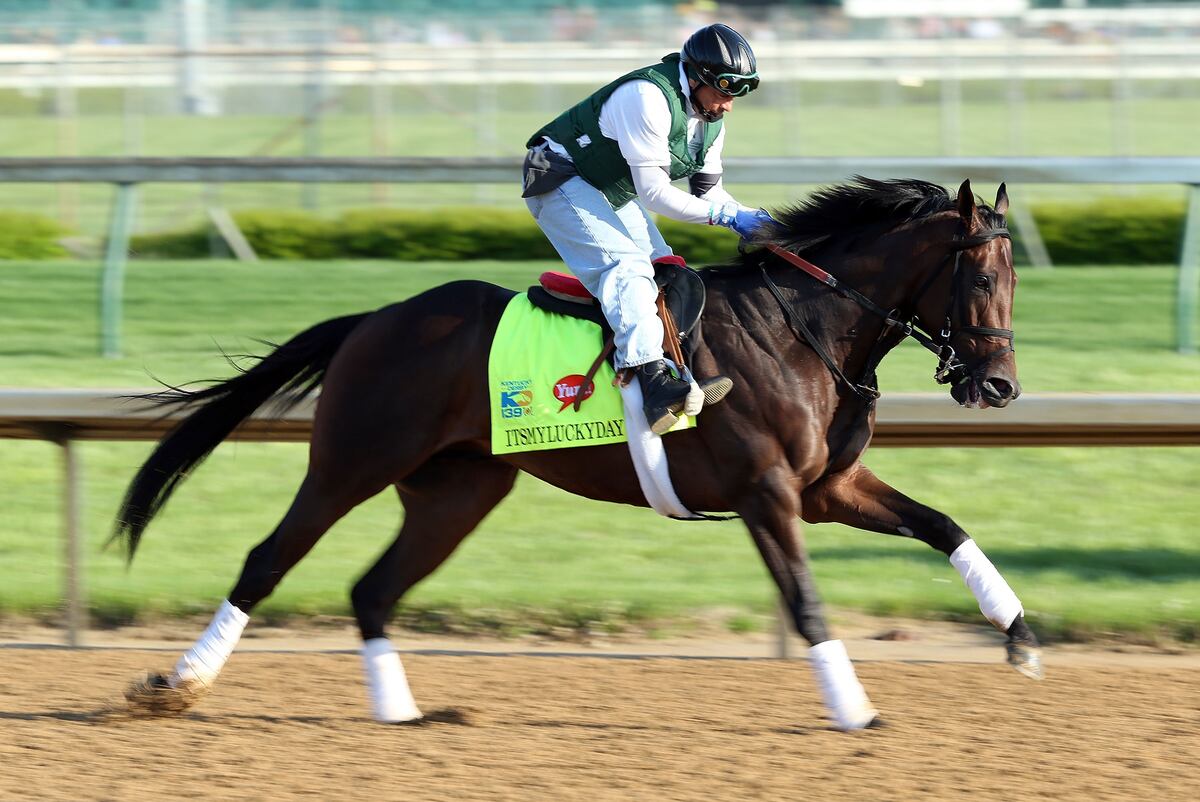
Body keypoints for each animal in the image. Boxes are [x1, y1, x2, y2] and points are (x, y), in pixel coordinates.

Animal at [116, 177, 1040, 731]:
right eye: (980, 278)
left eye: (1015, 280)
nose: (998, 386)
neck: (801, 330)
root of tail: (373, 320)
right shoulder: (767, 491)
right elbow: (807, 601)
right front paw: (853, 709)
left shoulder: (826, 487)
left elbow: (945, 525)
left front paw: (1019, 633)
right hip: (352, 462)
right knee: (268, 560)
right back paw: (178, 683)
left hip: (459, 490)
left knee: (372, 589)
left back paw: (401, 712)